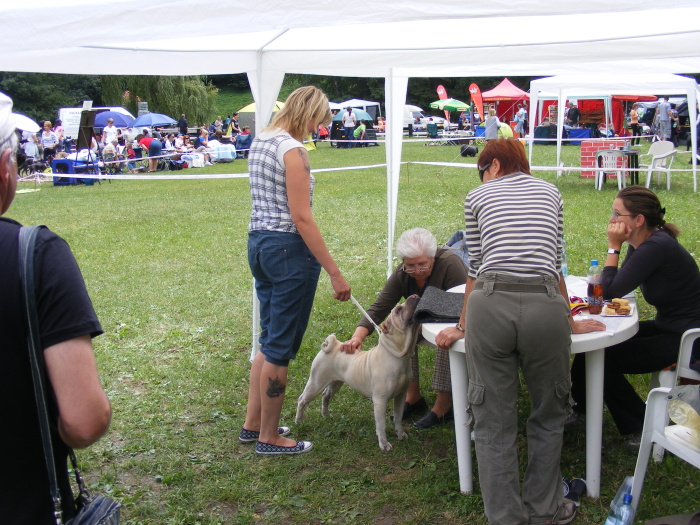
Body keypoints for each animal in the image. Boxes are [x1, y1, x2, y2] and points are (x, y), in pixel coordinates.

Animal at [296, 294, 422, 450]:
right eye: (399, 310)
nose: (414, 295)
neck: (396, 354)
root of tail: (332, 346)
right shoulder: (380, 401)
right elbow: (381, 425)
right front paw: (384, 444)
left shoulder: (401, 395)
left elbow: (398, 417)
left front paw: (400, 434)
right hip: (316, 383)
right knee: (302, 400)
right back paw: (299, 421)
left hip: (335, 382)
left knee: (326, 396)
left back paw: (326, 416)